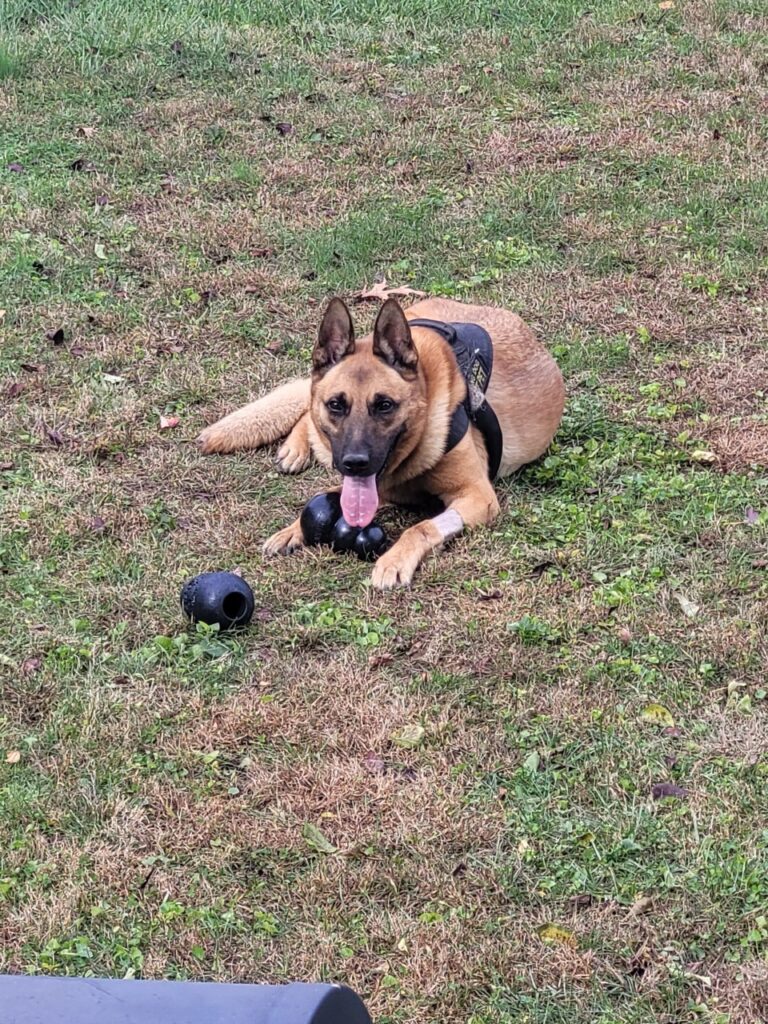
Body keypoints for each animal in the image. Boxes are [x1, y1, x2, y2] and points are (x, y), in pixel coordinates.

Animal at [199, 296, 564, 589]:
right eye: (337, 405)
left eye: (384, 405)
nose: (354, 463)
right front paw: (294, 529)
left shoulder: (478, 496)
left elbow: (420, 528)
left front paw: (394, 560)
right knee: (305, 404)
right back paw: (297, 446)